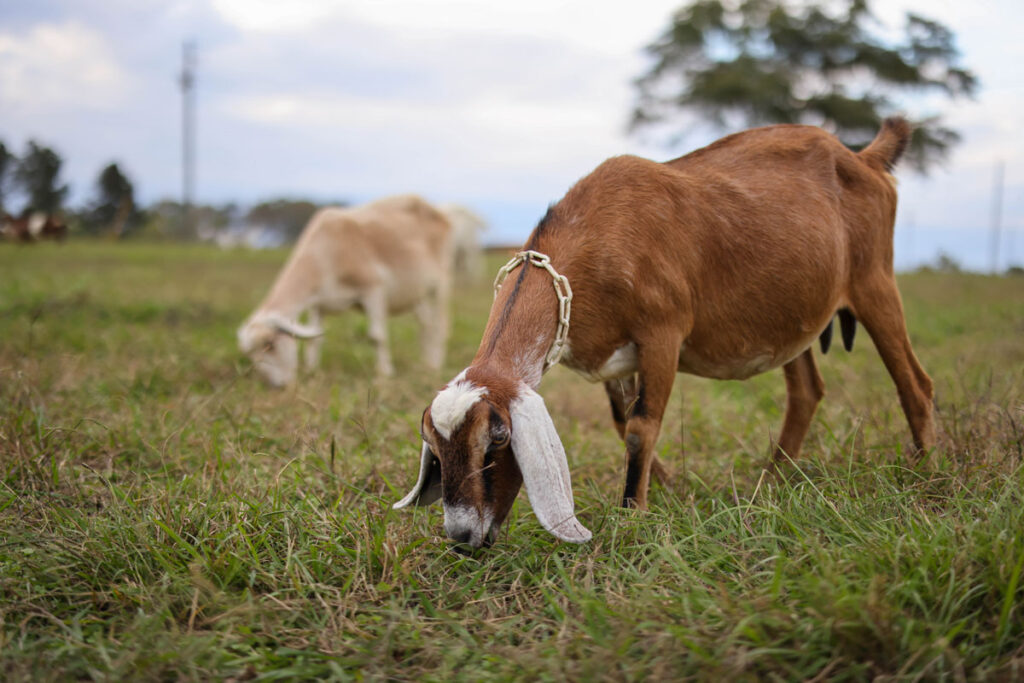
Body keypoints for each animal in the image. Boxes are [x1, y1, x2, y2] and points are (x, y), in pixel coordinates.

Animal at [239, 194, 452, 387]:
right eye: (251, 355)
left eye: (270, 345)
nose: (278, 386)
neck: (326, 251)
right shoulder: (318, 304)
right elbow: (315, 341)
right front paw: (311, 372)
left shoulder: (373, 289)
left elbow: (377, 337)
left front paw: (384, 374)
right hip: (417, 295)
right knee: (425, 325)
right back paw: (425, 365)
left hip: (439, 283)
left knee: (439, 325)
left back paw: (435, 366)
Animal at [393, 117, 937, 548]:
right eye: (434, 447)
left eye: (498, 439)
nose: (463, 536)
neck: (599, 233)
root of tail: (862, 156)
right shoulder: (613, 360)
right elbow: (621, 423)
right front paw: (670, 489)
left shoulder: (663, 334)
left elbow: (640, 428)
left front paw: (633, 514)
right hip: (793, 314)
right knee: (807, 389)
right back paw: (772, 480)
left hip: (874, 281)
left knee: (915, 384)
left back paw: (926, 477)